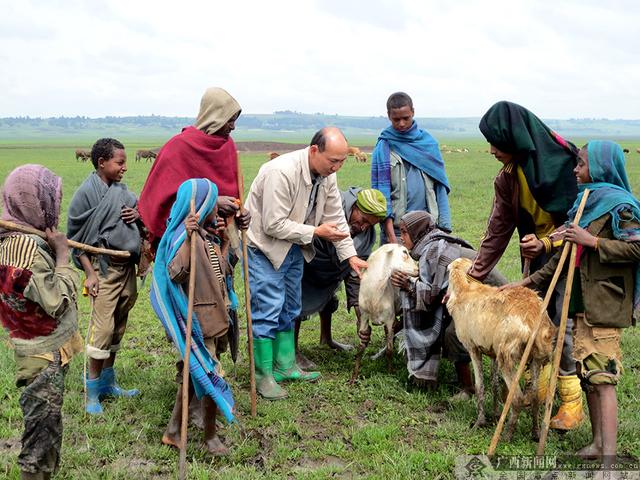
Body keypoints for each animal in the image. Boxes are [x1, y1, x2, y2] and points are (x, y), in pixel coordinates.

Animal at [350, 244, 420, 382]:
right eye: (404, 252)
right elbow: (360, 349)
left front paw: (390, 372)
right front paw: (353, 377)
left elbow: (390, 350)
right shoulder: (364, 317)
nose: (417, 269)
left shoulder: (389, 319)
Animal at [444, 256, 556, 440]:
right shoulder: (492, 352)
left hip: (507, 355)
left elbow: (480, 386)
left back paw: (507, 436)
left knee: (517, 398)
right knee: (534, 395)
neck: (465, 290)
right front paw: (496, 414)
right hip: (535, 357)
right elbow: (495, 383)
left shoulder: (473, 348)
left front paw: (480, 422)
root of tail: (533, 318)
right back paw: (535, 432)